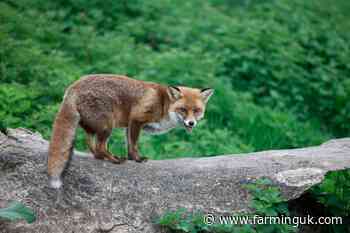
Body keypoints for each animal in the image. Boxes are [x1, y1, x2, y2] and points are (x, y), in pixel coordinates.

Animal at [46, 75, 213, 188]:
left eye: (197, 110)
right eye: (183, 110)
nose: (191, 123)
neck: (163, 104)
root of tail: (73, 87)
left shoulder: (129, 126)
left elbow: (128, 144)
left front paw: (132, 158)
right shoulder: (136, 119)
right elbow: (134, 145)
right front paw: (137, 159)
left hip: (95, 127)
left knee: (93, 146)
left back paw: (103, 157)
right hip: (107, 126)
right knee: (100, 146)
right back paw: (115, 160)